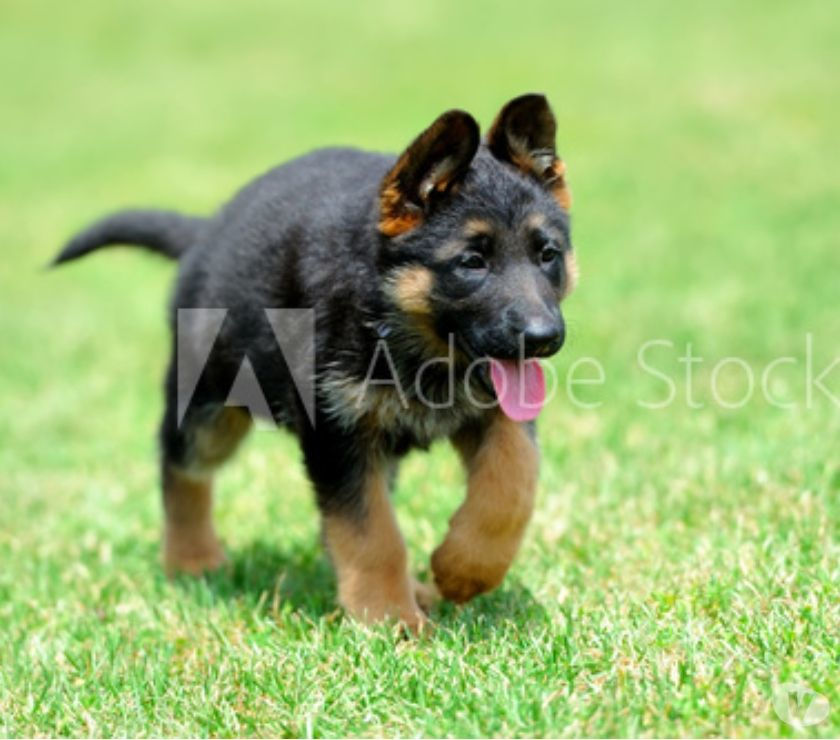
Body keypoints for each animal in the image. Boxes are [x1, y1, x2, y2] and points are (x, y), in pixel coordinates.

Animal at [54, 92, 576, 632]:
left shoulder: (495, 414)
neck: (403, 332)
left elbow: (510, 484)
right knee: (180, 467)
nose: (544, 338)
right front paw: (390, 620)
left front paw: (463, 571)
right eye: (472, 263)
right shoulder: (337, 432)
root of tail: (208, 230)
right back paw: (192, 559)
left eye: (547, 255)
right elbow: (371, 533)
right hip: (212, 406)